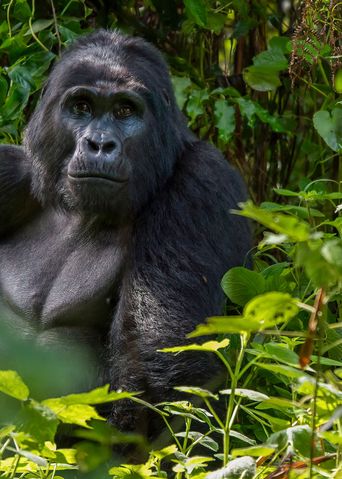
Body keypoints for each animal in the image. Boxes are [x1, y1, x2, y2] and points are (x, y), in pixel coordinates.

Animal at [0, 29, 251, 436]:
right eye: (81, 107)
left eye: (124, 111)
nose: (100, 144)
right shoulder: (10, 170)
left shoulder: (203, 183)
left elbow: (162, 378)